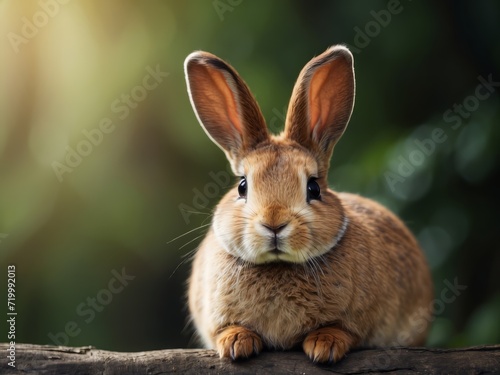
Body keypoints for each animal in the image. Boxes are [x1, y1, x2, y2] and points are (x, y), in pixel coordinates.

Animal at [184, 44, 434, 364]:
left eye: (313, 187)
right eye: (242, 186)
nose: (274, 223)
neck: (279, 266)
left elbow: (342, 330)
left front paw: (324, 345)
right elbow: (226, 328)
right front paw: (236, 342)